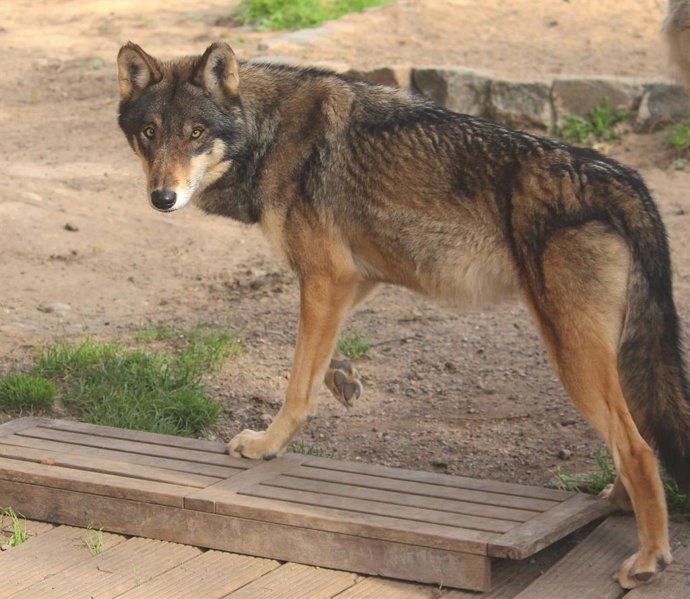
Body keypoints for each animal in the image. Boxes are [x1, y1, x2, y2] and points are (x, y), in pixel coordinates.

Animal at [116, 41, 690, 588]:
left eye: (195, 133)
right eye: (149, 133)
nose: (162, 197)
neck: (268, 132)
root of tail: (624, 179)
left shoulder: (325, 276)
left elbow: (297, 383)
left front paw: (266, 445)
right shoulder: (354, 277)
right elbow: (314, 361)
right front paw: (342, 377)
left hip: (572, 356)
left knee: (637, 447)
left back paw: (648, 558)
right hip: (609, 355)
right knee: (640, 436)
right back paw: (616, 504)